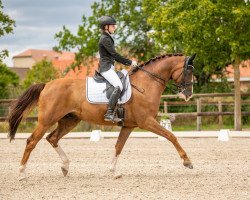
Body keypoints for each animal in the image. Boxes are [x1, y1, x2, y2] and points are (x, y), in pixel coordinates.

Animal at [8, 52, 196, 180]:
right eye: (188, 72)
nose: (188, 95)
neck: (146, 84)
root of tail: (47, 85)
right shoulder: (146, 122)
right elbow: (171, 136)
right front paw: (187, 162)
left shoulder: (129, 125)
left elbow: (118, 147)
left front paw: (114, 172)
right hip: (47, 120)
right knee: (32, 141)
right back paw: (22, 173)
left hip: (70, 120)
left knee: (52, 138)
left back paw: (65, 167)